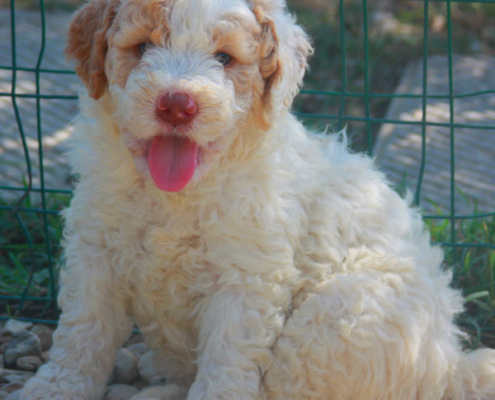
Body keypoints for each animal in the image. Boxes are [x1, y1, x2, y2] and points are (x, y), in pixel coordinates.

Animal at [19, 0, 495, 400]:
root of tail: (451, 363)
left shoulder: (245, 278)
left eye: (225, 58)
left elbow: (227, 358)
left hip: (342, 313)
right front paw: (55, 388)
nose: (177, 105)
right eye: (142, 47)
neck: (175, 196)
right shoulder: (95, 253)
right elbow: (82, 333)